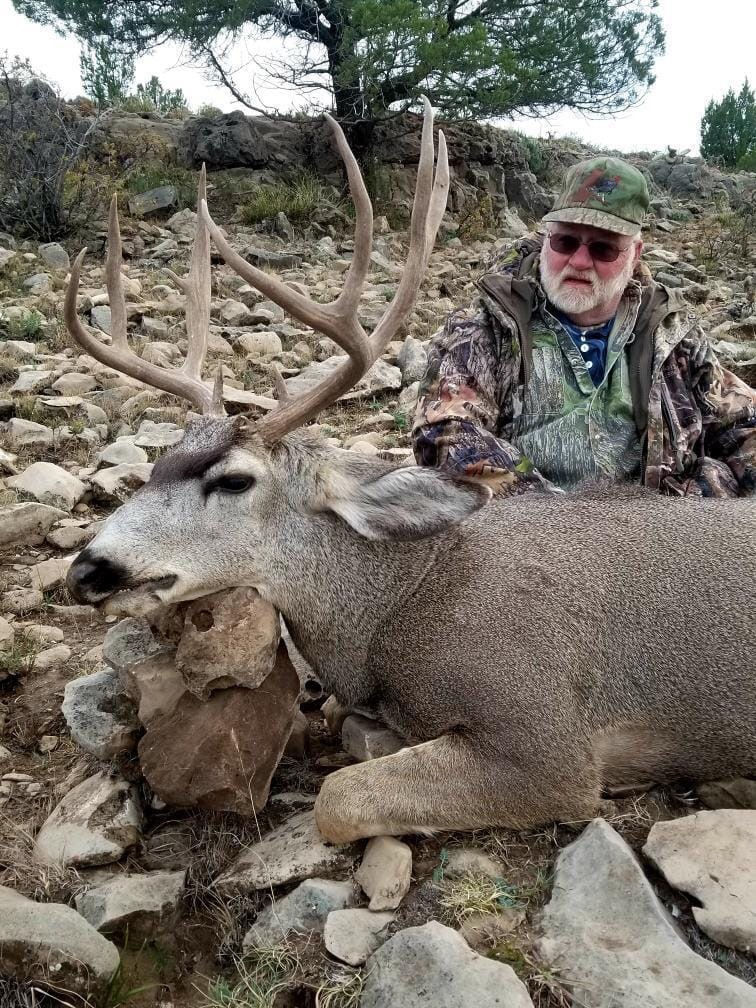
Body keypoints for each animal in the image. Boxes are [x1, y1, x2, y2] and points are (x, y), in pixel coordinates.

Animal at [64, 101, 755, 845]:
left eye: (234, 480)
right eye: (158, 463)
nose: (87, 570)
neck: (399, 606)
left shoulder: (546, 732)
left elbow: (337, 797)